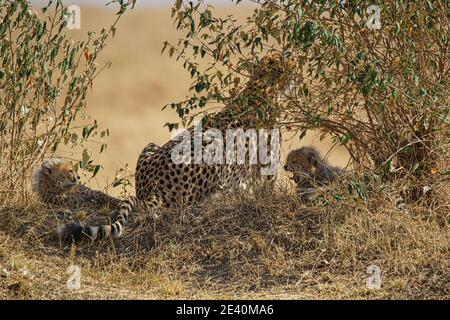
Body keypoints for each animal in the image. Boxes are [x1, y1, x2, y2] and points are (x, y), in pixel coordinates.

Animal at [59, 52, 292, 241]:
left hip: (151, 146)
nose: (289, 56)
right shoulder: (266, 168)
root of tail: (153, 187)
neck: (259, 88)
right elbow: (267, 191)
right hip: (212, 148)